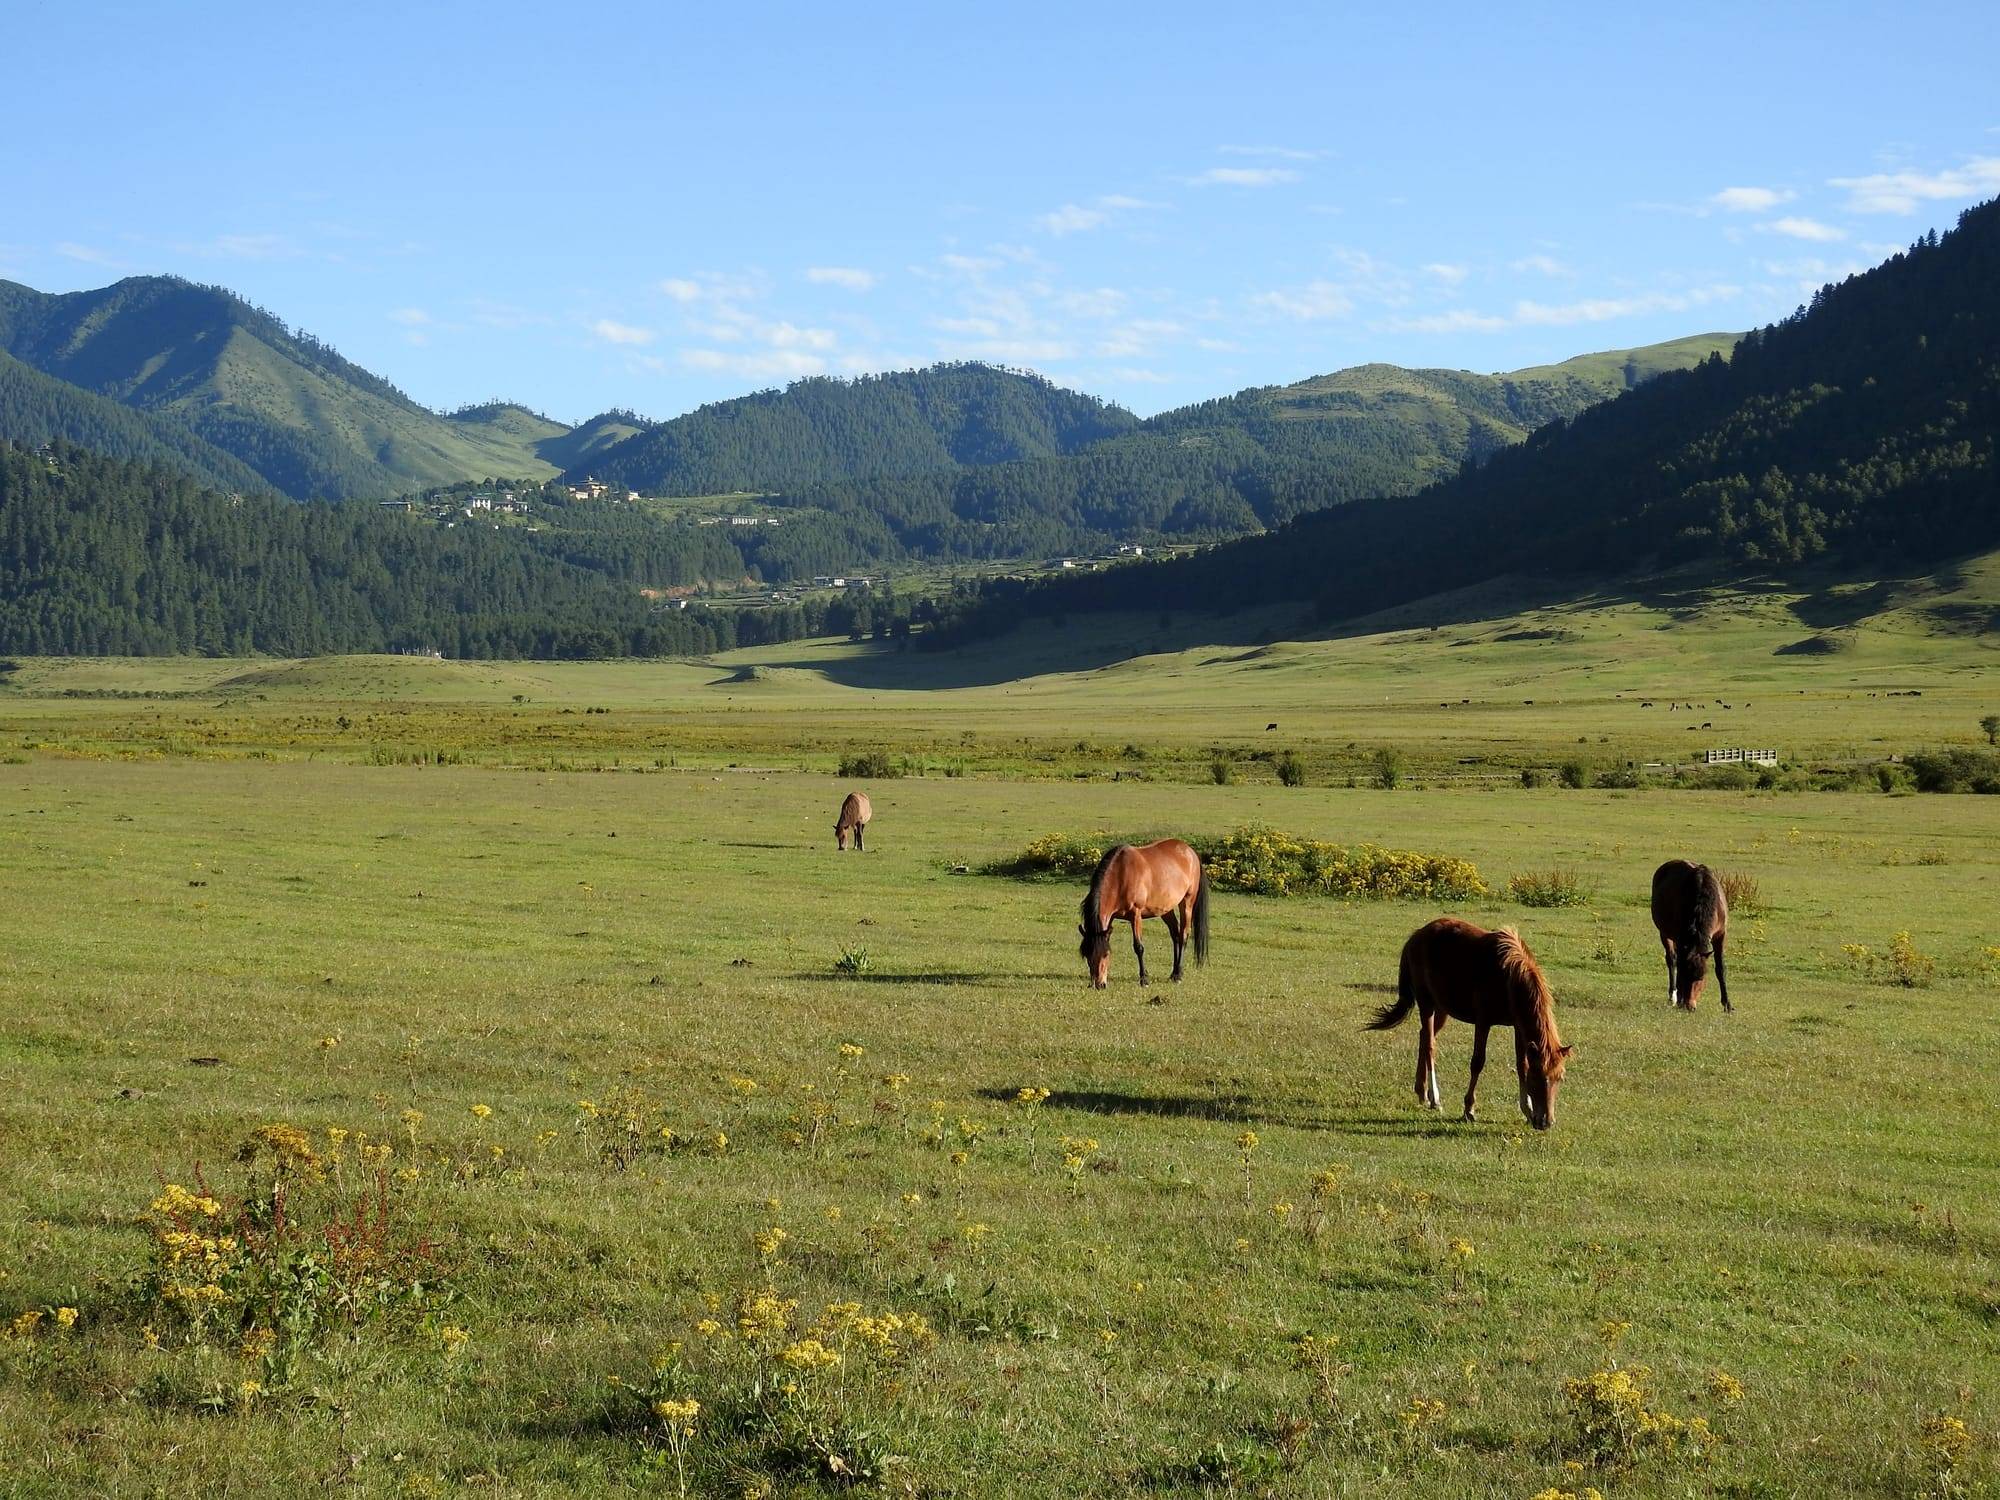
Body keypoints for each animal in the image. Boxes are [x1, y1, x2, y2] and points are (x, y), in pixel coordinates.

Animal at [1078, 839, 1209, 989]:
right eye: (1087, 955)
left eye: (1105, 955)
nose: (1099, 984)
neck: (1121, 875)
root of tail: (1191, 852)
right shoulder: (1110, 918)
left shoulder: (1136, 914)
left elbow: (1138, 947)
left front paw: (1144, 979)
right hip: (1166, 909)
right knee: (1175, 934)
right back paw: (1173, 973)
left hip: (1187, 903)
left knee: (1183, 936)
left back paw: (1178, 975)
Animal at [1365, 917, 1572, 1129]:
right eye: (1538, 1077)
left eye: (1560, 1077)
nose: (1546, 1122)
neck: (1507, 977)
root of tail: (1416, 936)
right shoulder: (1483, 1022)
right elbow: (1477, 1062)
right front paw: (1469, 1109)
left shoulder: (1518, 1027)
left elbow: (1521, 1064)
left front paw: (1527, 1110)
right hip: (1426, 1003)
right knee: (1430, 1045)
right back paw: (1435, 1098)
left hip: (1442, 1008)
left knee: (1424, 1037)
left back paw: (1421, 1092)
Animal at [1650, 859, 1731, 1011]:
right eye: (1685, 977)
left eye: (1701, 978)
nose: (1690, 1006)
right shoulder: (1680, 938)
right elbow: (1679, 964)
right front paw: (1680, 1000)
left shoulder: (1720, 935)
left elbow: (1720, 968)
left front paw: (1727, 1005)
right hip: (1665, 933)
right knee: (1672, 960)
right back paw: (1673, 997)